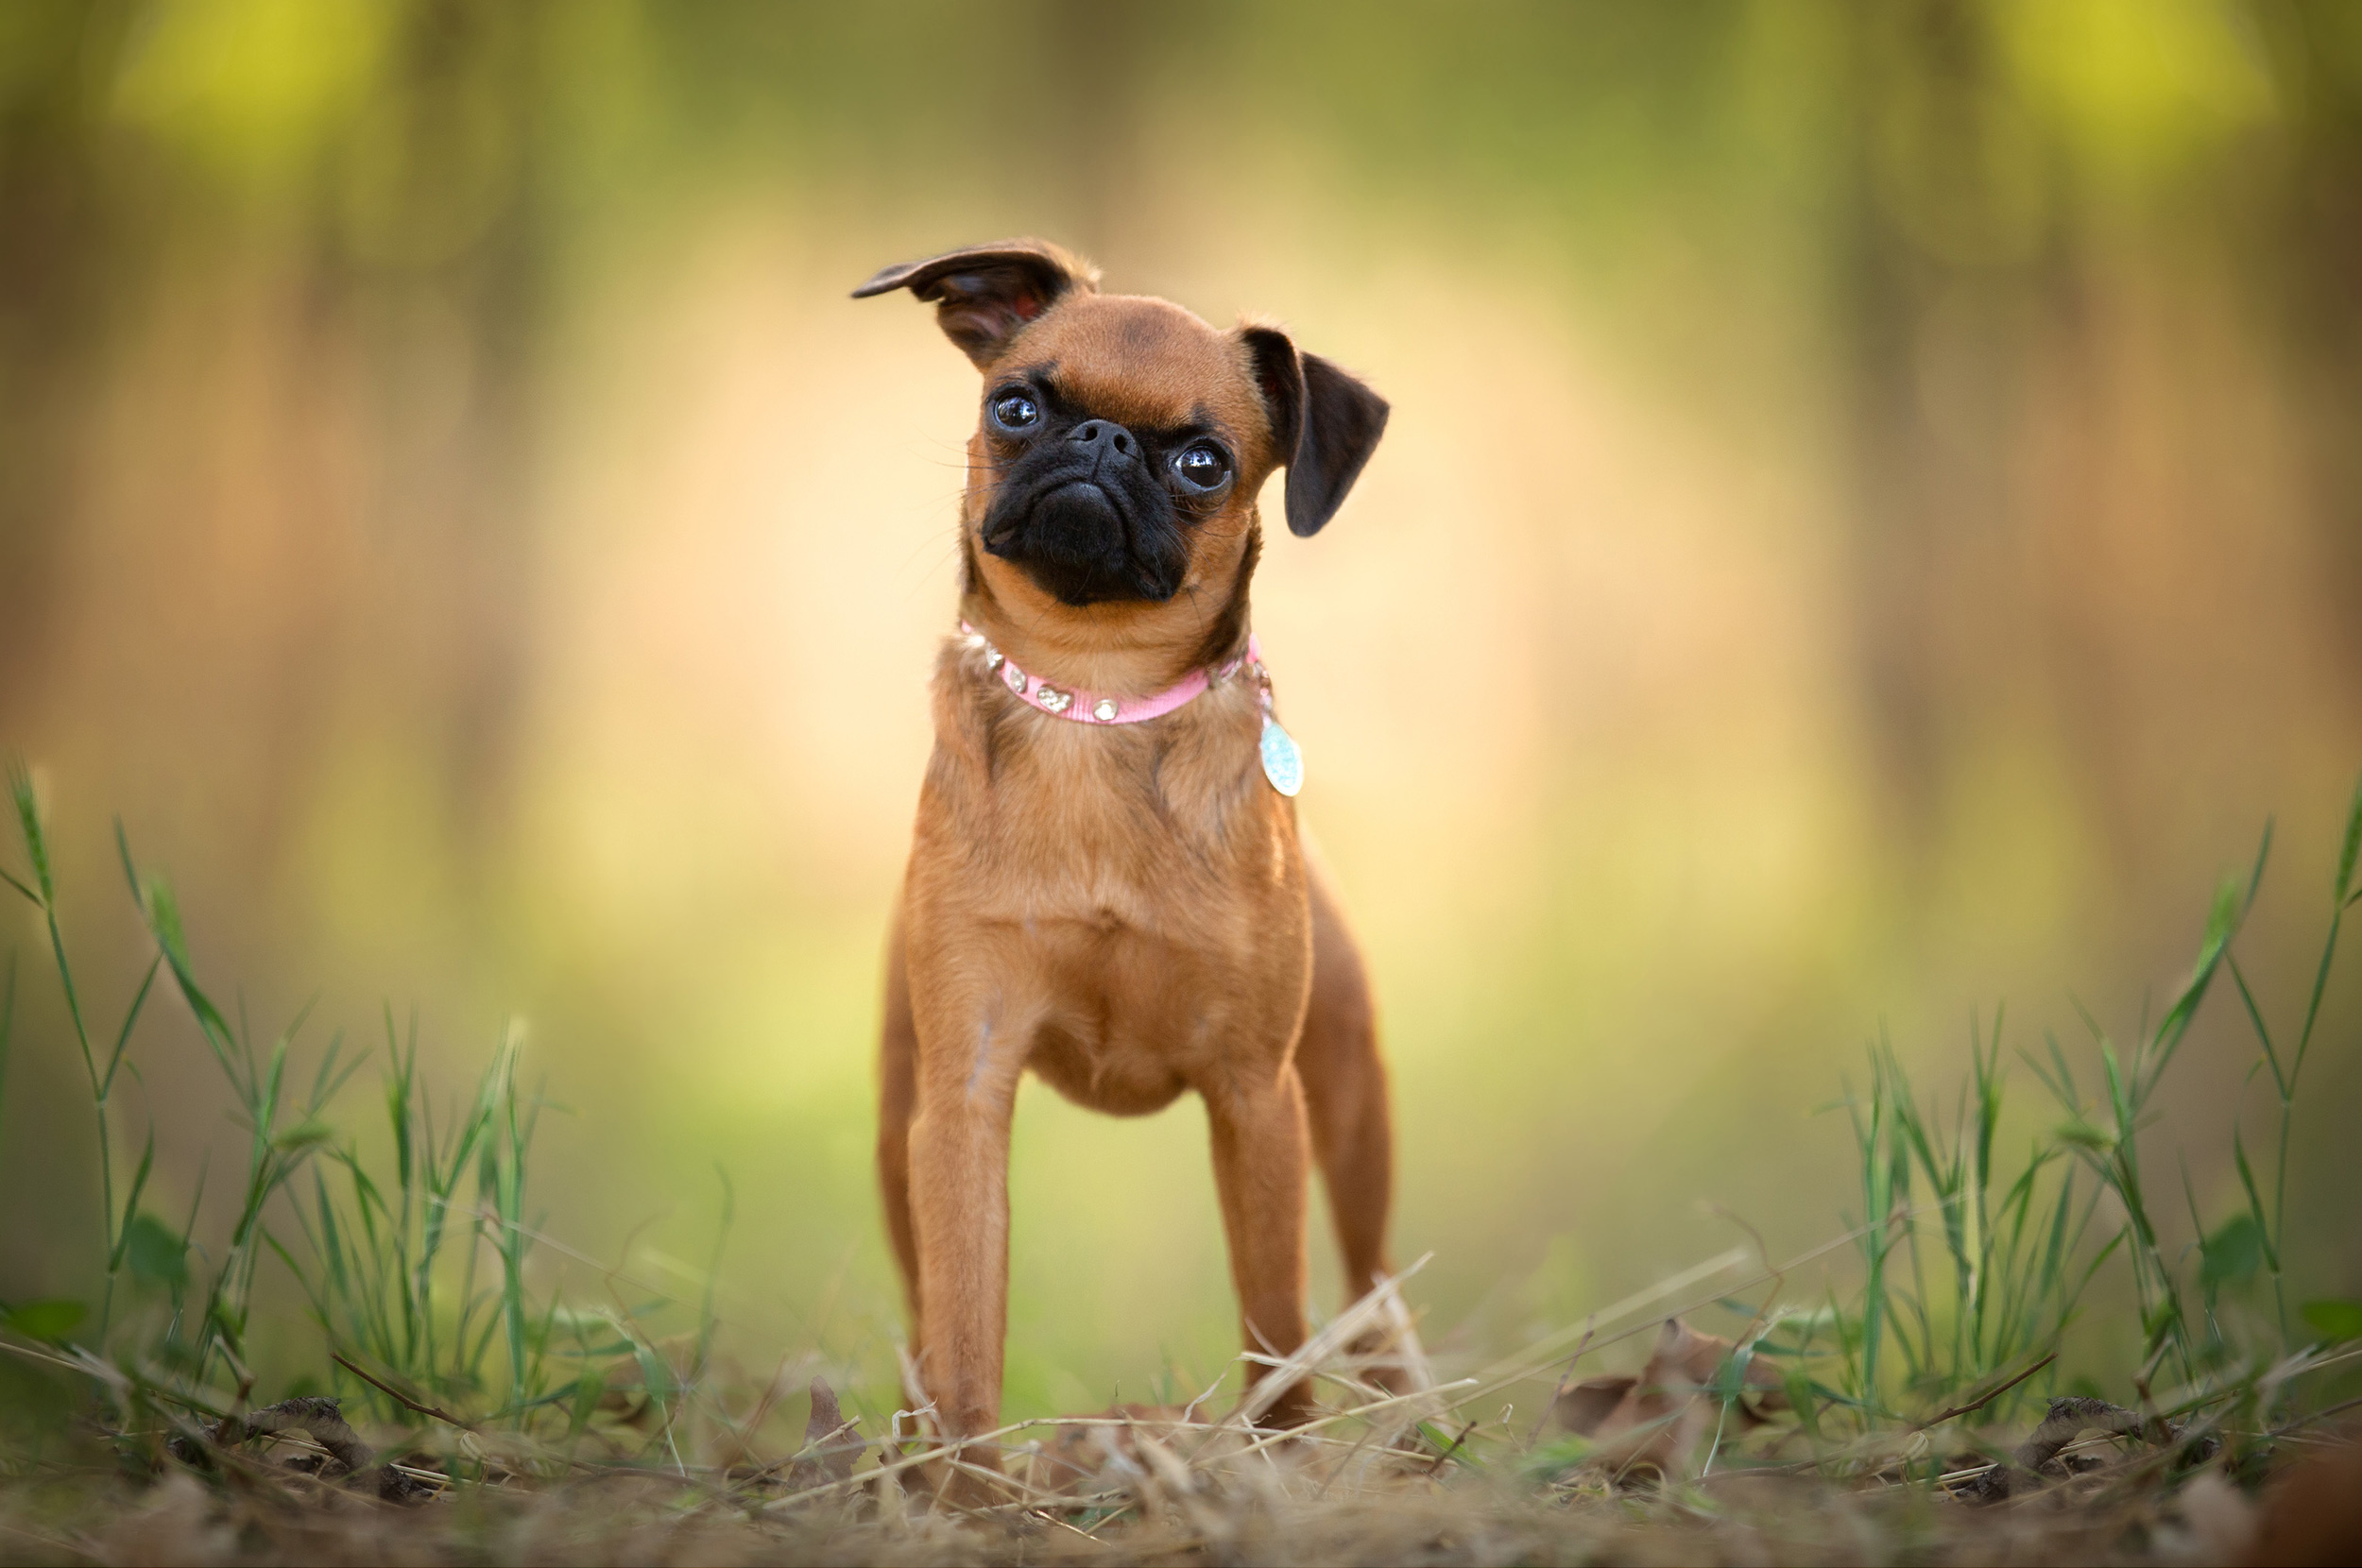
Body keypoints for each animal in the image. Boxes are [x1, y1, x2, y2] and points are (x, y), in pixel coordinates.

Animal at [860, 236, 1389, 1474]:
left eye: (1203, 461)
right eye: (1015, 406)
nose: (1099, 442)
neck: (1095, 697)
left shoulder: (1255, 1099)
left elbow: (1274, 1324)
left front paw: (1279, 1463)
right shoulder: (962, 1098)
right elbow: (965, 1325)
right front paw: (969, 1487)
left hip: (1351, 1113)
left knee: (1376, 1296)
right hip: (897, 1133)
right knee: (920, 1311)